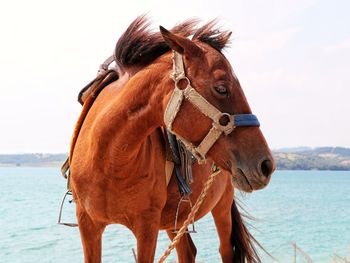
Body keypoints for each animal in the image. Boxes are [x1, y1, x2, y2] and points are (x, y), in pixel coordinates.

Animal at [68, 17, 274, 263]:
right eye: (222, 88)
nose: (266, 165)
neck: (107, 159)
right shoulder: (87, 225)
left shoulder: (146, 227)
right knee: (188, 251)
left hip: (222, 208)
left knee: (226, 251)